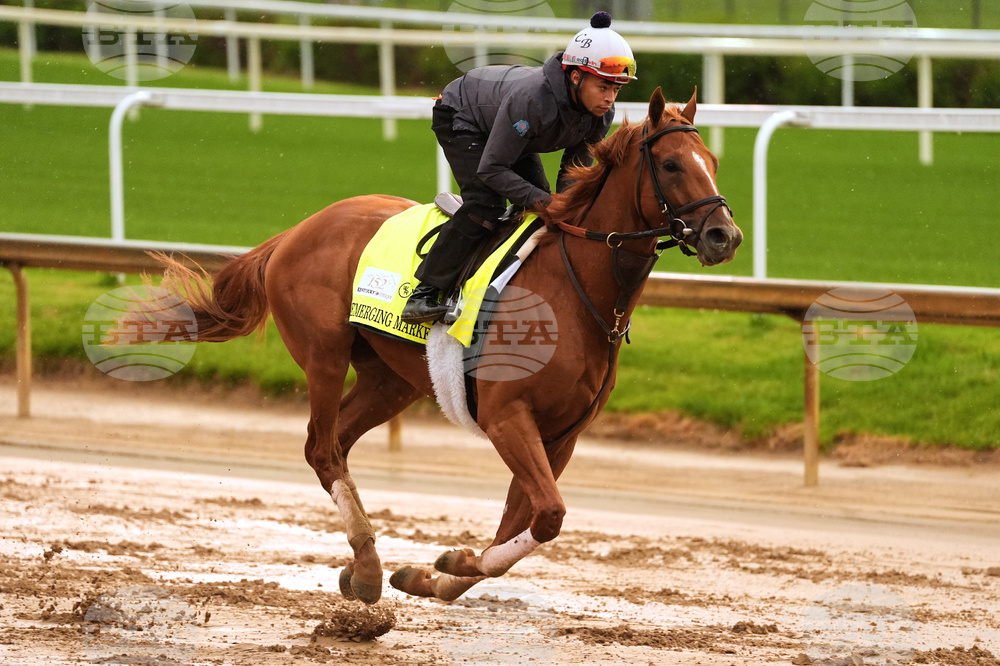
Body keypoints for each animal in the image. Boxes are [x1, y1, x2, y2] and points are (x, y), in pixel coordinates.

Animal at [141, 87, 741, 605]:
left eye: (712, 158)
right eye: (671, 165)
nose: (725, 236)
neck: (575, 292)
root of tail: (296, 231)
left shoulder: (561, 435)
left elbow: (521, 523)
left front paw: (439, 573)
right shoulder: (506, 416)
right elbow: (547, 516)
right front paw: (451, 564)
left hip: (392, 380)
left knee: (338, 442)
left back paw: (362, 562)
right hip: (324, 357)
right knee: (321, 448)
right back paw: (368, 568)